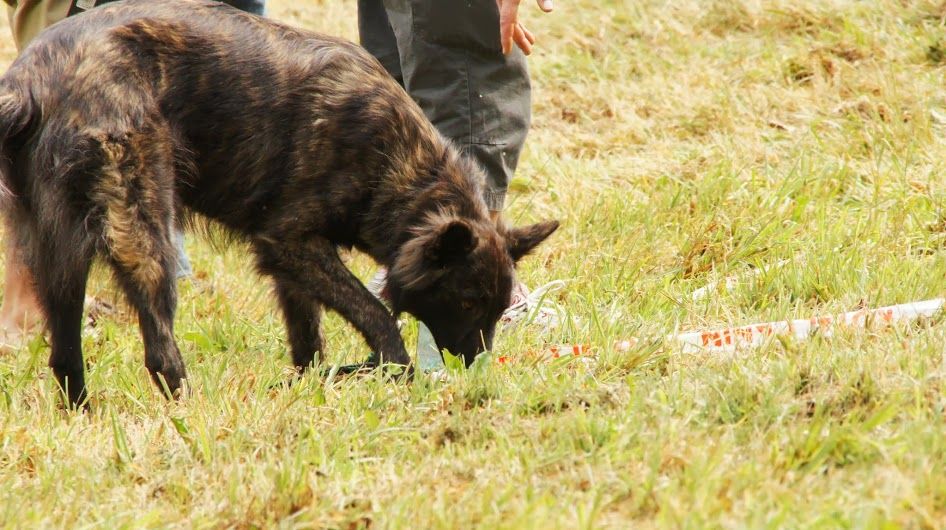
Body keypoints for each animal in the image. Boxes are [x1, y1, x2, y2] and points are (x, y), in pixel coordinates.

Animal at [0, 0, 552, 404]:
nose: (474, 367)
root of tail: (29, 82)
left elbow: (307, 334)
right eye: (467, 302)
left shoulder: (293, 264)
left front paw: (312, 382)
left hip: (59, 258)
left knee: (63, 354)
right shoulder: (290, 243)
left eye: (498, 308)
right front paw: (389, 367)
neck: (401, 166)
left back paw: (84, 414)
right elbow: (376, 312)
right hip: (145, 236)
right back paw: (191, 411)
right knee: (158, 350)